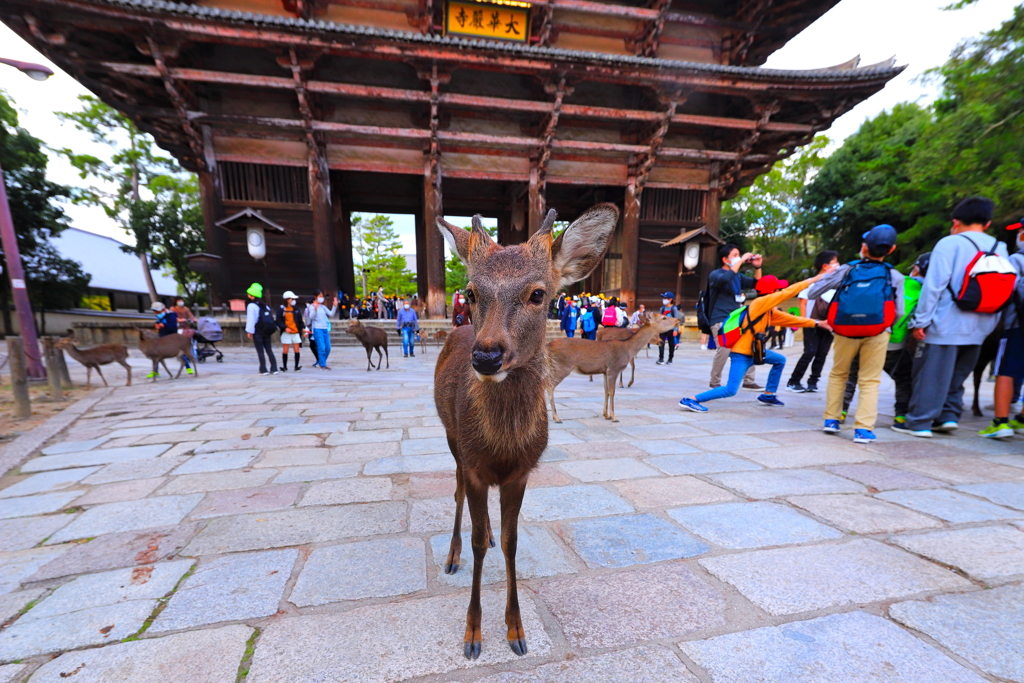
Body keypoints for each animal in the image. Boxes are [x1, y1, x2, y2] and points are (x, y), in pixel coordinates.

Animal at [432, 201, 614, 655]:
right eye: (471, 292)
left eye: (538, 294)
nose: (487, 355)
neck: (503, 446)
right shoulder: (475, 465)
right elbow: (477, 537)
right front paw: (473, 635)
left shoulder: (522, 472)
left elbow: (513, 543)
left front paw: (516, 631)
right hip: (451, 438)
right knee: (457, 494)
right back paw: (452, 556)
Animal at [544, 313, 679, 421]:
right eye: (664, 317)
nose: (677, 320)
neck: (628, 348)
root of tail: (548, 345)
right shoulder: (614, 368)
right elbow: (612, 392)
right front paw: (614, 417)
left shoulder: (605, 371)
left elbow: (606, 391)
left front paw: (606, 415)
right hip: (562, 366)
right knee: (550, 386)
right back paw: (556, 417)